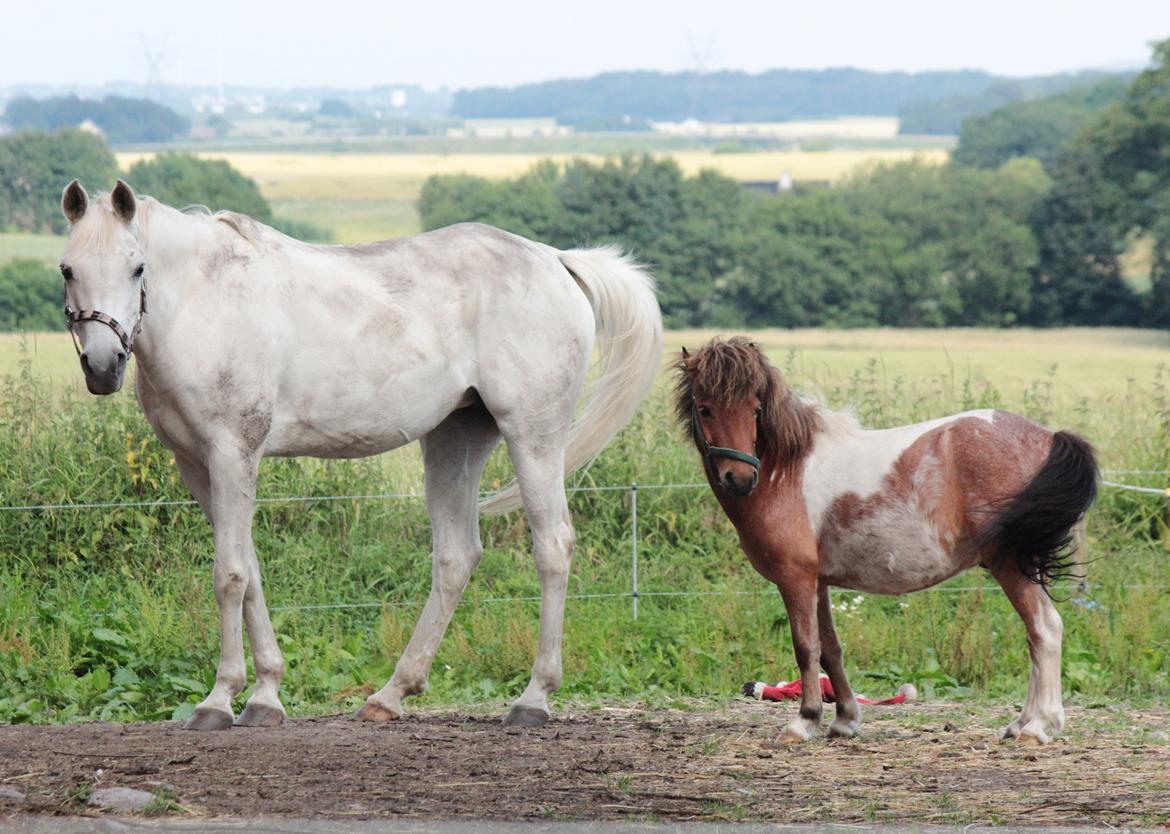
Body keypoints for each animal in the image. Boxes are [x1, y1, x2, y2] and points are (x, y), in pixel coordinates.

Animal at [59, 178, 664, 725]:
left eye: (137, 267)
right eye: (68, 270)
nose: (103, 367)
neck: (206, 302)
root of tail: (557, 261)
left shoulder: (233, 453)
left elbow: (229, 574)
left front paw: (219, 699)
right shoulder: (196, 465)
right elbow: (250, 569)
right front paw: (265, 695)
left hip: (533, 435)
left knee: (553, 545)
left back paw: (533, 699)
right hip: (457, 438)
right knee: (457, 556)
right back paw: (391, 694)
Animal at [678, 334, 1095, 743]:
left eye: (754, 409)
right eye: (705, 409)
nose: (739, 479)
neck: (786, 470)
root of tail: (1047, 436)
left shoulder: (795, 578)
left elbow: (806, 647)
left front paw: (804, 721)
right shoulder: (819, 581)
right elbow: (831, 649)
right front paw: (844, 719)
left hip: (1009, 563)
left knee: (1044, 629)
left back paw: (1038, 727)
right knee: (1036, 634)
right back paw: (1020, 723)